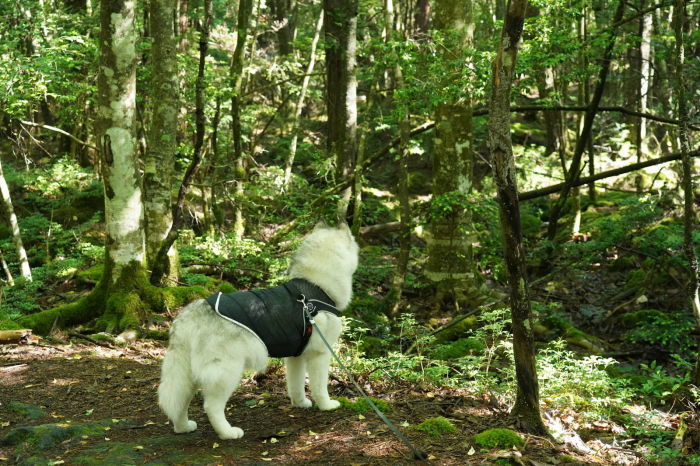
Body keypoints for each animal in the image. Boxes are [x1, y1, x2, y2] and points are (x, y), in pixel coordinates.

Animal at [157, 224, 358, 438]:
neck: (314, 286)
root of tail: (191, 313)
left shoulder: (295, 357)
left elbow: (295, 384)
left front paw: (300, 403)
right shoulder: (320, 355)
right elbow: (320, 386)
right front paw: (326, 405)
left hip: (186, 374)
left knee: (179, 402)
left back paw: (183, 427)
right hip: (226, 372)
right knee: (211, 406)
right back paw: (228, 432)